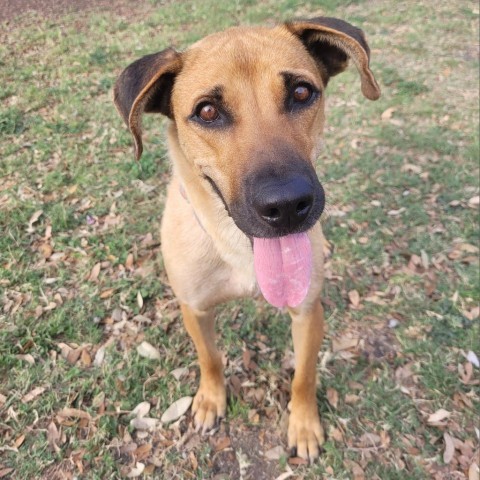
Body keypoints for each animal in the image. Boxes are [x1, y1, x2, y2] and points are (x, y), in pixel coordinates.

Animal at [114, 17, 380, 462]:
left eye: (301, 92)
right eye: (207, 111)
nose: (287, 206)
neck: (240, 248)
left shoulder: (307, 310)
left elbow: (304, 376)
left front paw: (304, 425)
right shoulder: (195, 308)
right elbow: (210, 358)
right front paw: (210, 400)